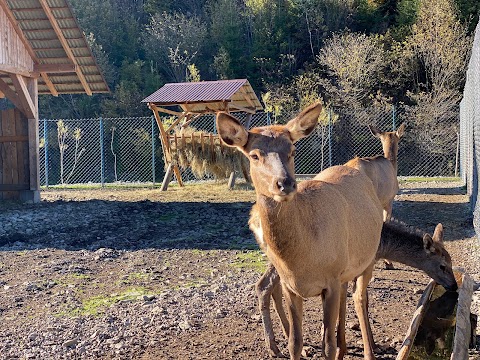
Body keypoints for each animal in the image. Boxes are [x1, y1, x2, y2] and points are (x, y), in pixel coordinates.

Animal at [219, 102, 384, 360]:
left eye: (293, 150)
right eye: (254, 155)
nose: (285, 183)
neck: (301, 261)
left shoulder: (331, 279)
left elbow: (327, 345)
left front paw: (332, 347)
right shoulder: (291, 286)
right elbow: (295, 342)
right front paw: (299, 347)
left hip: (369, 256)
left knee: (360, 297)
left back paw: (366, 349)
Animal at [258, 218, 458, 358]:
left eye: (451, 261)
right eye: (442, 266)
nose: (454, 285)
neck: (382, 247)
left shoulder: (346, 274)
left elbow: (352, 302)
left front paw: (359, 345)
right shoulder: (357, 269)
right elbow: (359, 301)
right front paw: (364, 350)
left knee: (272, 288)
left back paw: (286, 337)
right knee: (262, 286)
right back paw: (274, 347)